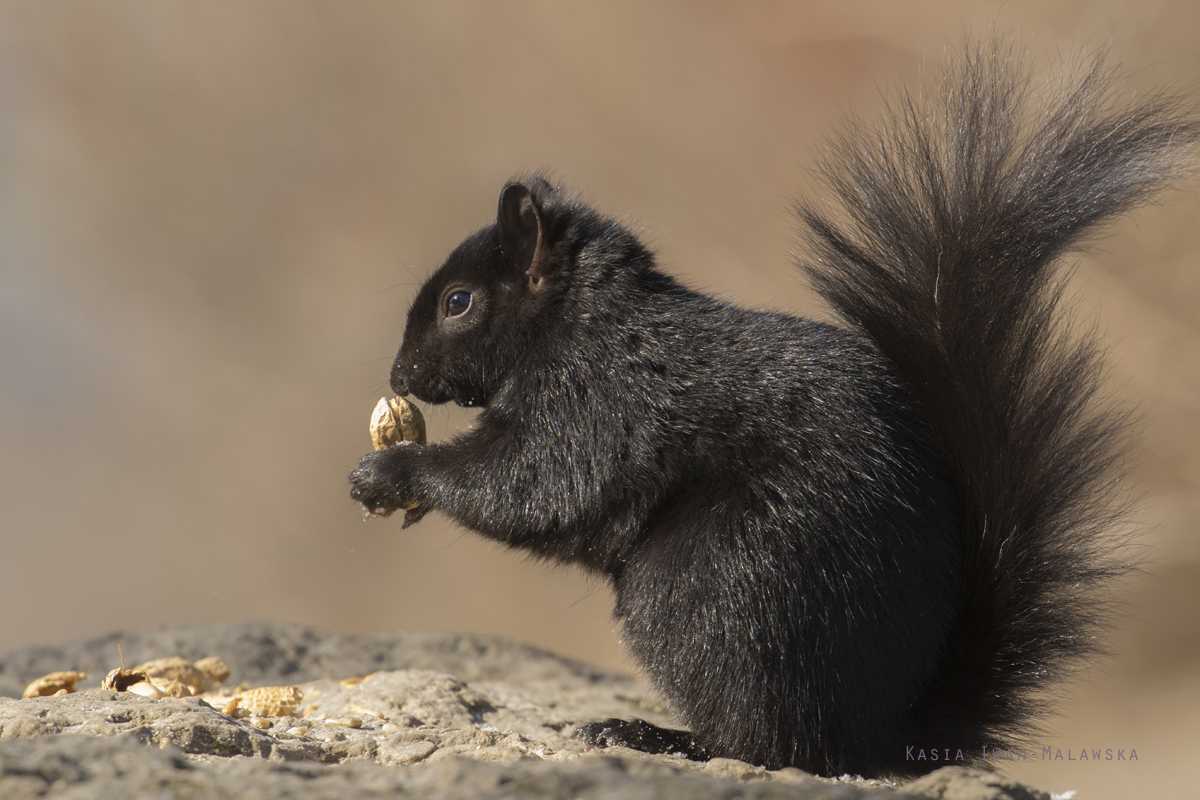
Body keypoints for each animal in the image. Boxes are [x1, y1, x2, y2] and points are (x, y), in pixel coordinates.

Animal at [345, 42, 1190, 777]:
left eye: (459, 302)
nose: (398, 372)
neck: (582, 323)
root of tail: (883, 730)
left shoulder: (597, 401)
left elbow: (531, 484)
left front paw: (393, 472)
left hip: (710, 583)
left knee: (764, 742)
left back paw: (652, 734)